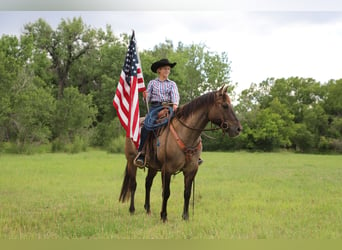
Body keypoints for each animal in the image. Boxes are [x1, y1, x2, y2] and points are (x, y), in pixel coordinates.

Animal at [119, 85, 242, 222]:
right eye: (225, 105)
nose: (238, 129)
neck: (185, 135)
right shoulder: (167, 170)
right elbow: (166, 193)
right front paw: (164, 216)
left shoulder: (191, 170)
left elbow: (187, 193)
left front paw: (185, 217)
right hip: (131, 162)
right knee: (133, 184)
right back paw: (132, 210)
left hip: (153, 166)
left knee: (148, 183)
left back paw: (148, 210)